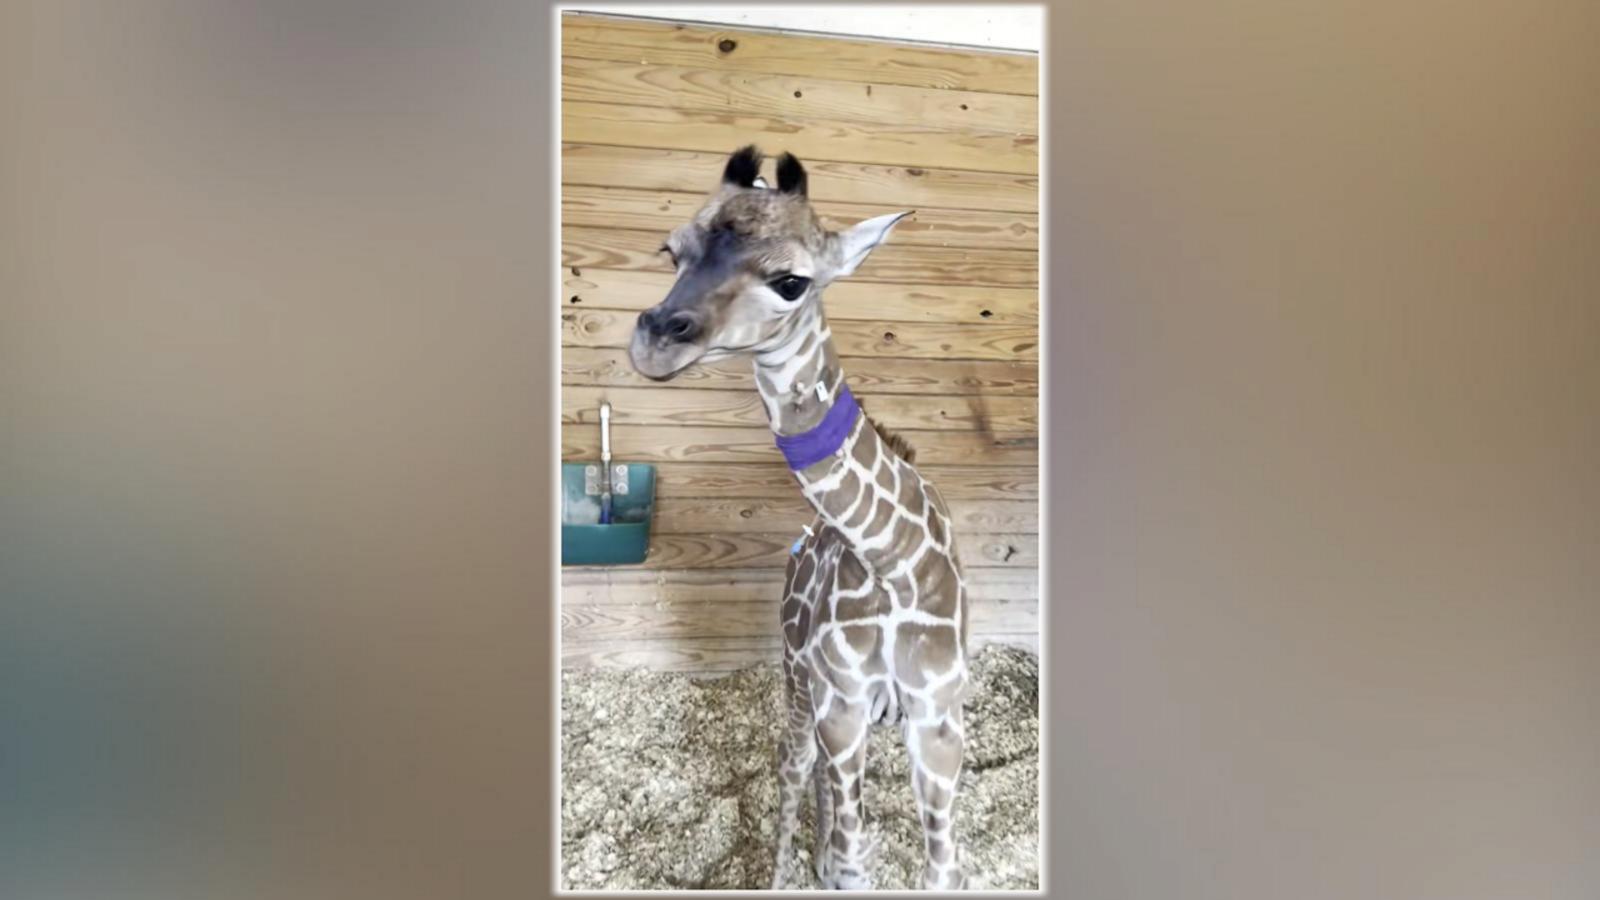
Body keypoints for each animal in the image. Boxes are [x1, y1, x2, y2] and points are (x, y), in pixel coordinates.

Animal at [628, 146, 971, 891]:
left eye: (792, 282)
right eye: (672, 249)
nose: (654, 342)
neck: (891, 559)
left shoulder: (938, 719)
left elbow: (941, 871)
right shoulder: (840, 705)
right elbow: (852, 863)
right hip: (797, 677)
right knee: (795, 768)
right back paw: (788, 871)